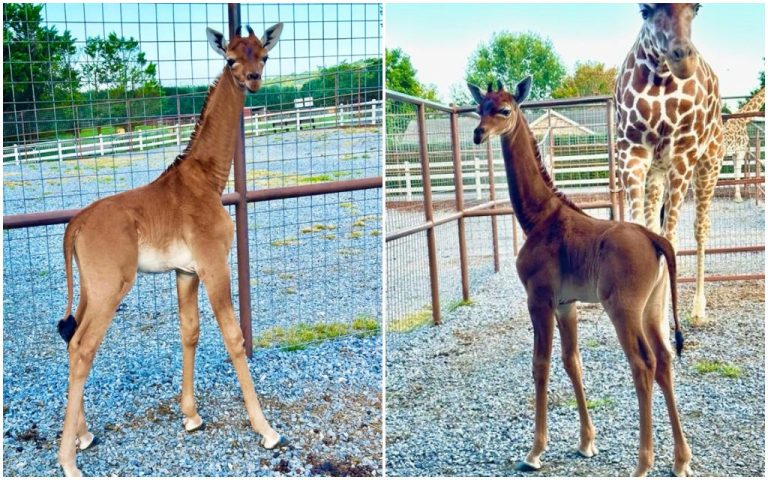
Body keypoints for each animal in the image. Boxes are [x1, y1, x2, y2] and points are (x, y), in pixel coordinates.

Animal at [56, 24, 285, 476]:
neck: (208, 180)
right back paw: (69, 461)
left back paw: (83, 435)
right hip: (111, 287)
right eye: (231, 58)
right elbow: (234, 336)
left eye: (263, 55)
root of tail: (75, 225)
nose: (253, 80)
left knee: (72, 340)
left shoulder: (186, 272)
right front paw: (266, 430)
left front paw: (191, 415)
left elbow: (190, 331)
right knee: (83, 347)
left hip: (91, 288)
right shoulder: (214, 264)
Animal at [469, 78, 691, 477]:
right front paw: (587, 442)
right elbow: (573, 362)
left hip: (623, 309)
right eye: (480, 108)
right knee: (665, 360)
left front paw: (534, 452)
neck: (538, 218)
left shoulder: (539, 299)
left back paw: (643, 463)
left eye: (504, 110)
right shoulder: (565, 304)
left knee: (643, 364)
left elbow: (540, 364)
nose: (479, 133)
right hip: (653, 308)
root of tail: (656, 239)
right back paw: (681, 460)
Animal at [615, 3, 724, 325]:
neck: (661, 78)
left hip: (709, 163)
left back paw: (698, 310)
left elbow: (670, 238)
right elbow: (643, 232)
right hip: (657, 171)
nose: (682, 59)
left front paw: (661, 322)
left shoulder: (683, 155)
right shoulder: (632, 153)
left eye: (696, 8)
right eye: (644, 10)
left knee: (701, 227)